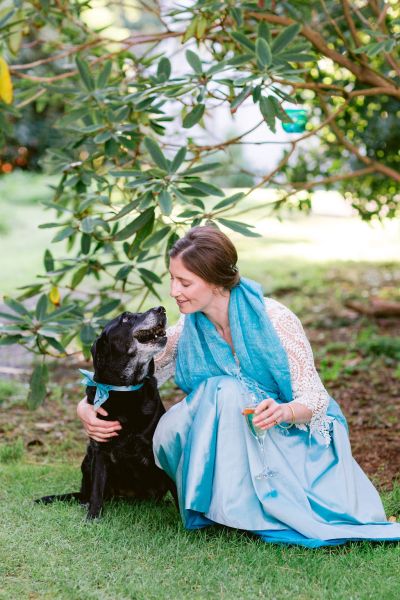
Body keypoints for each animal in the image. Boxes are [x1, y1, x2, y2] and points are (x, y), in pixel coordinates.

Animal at [36, 308, 177, 516]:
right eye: (126, 318)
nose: (161, 309)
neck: (126, 389)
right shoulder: (100, 450)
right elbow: (96, 491)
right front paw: (93, 517)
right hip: (87, 459)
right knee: (87, 493)